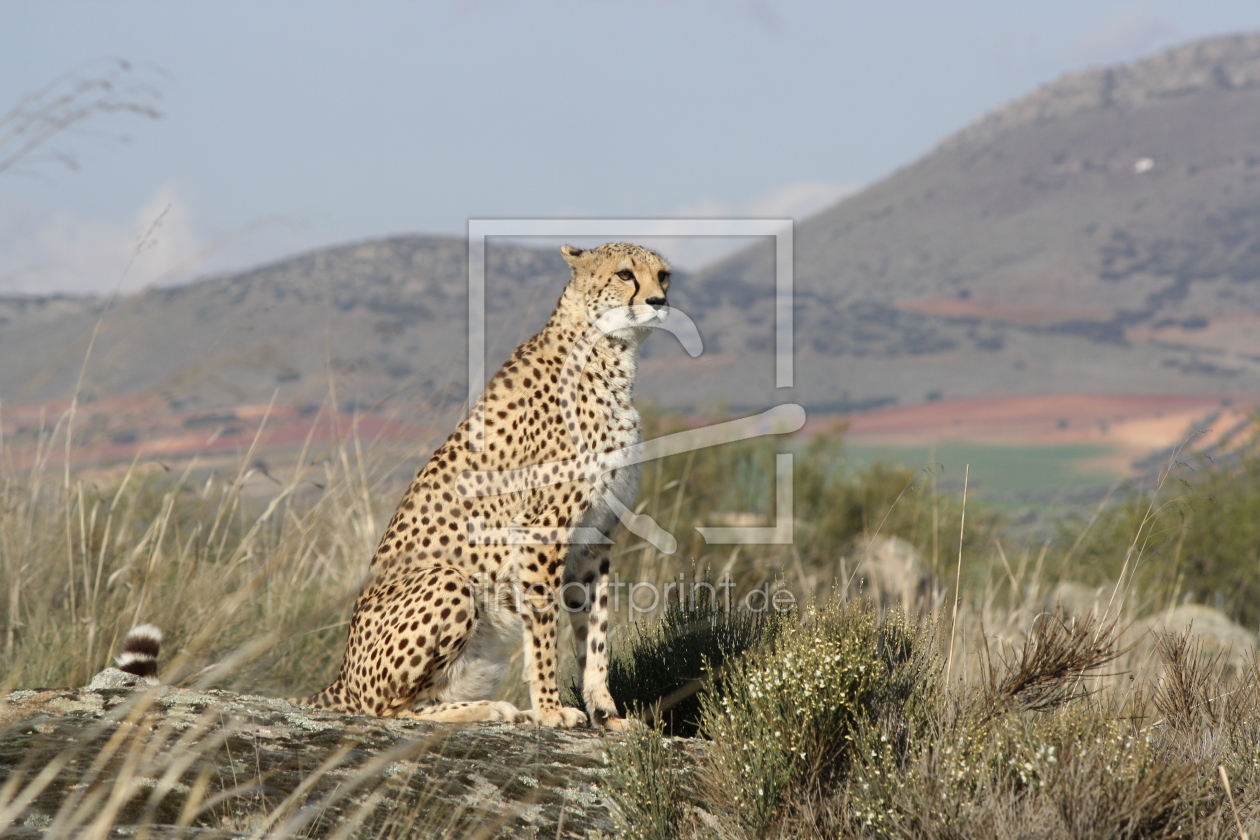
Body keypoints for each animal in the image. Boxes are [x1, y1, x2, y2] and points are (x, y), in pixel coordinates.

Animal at [295, 242, 672, 729]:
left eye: (663, 275)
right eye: (626, 275)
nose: (659, 301)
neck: (609, 354)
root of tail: (341, 677)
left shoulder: (595, 538)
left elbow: (596, 633)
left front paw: (605, 713)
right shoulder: (540, 531)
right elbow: (544, 631)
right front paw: (550, 709)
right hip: (446, 579)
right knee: (390, 709)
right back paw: (491, 708)